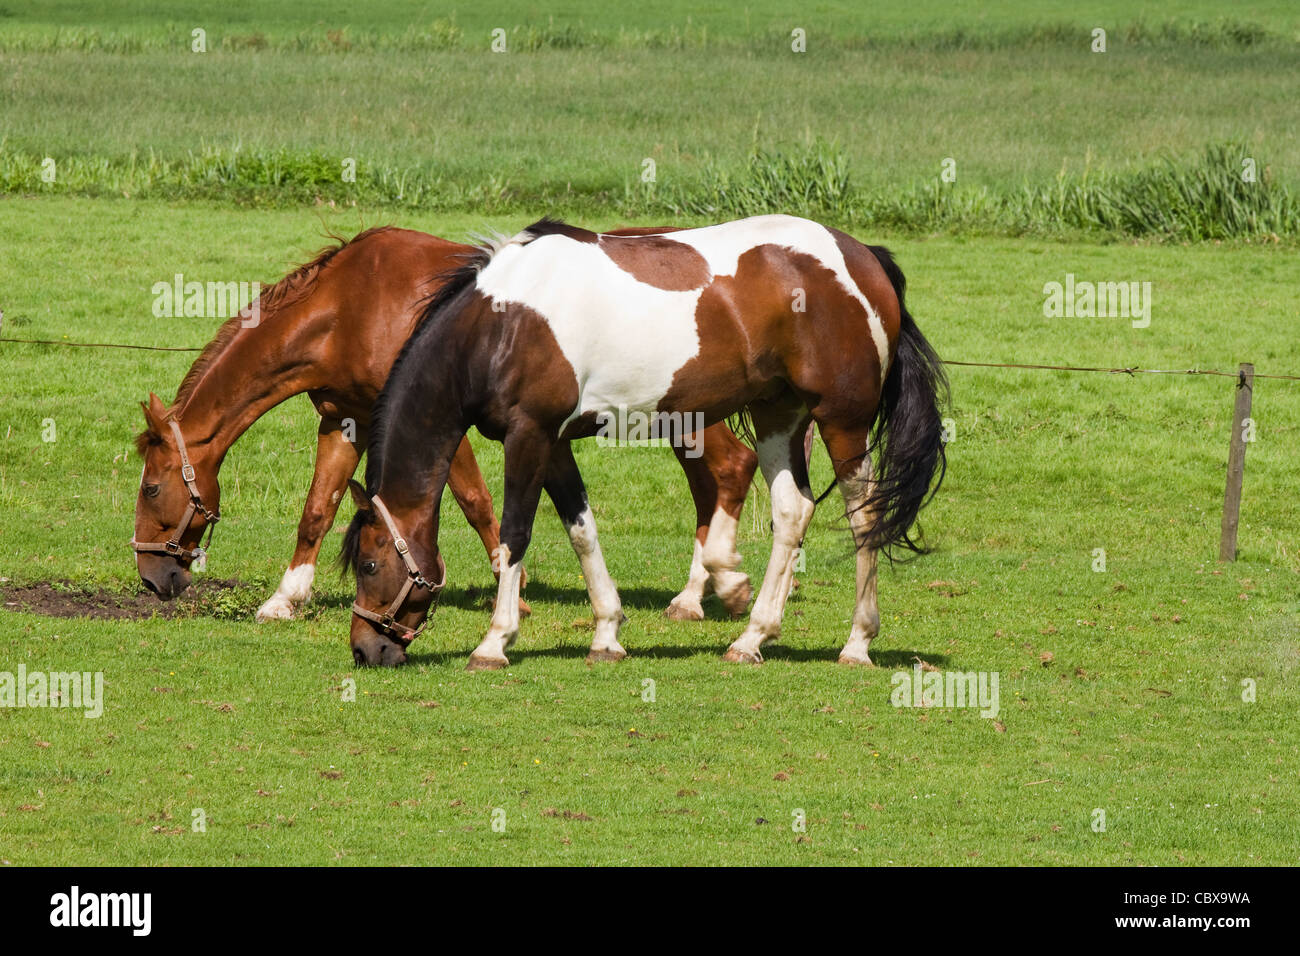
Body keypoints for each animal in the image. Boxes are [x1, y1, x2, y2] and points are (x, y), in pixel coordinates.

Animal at [133, 226, 759, 629]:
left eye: (152, 488)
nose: (151, 578)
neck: (349, 304)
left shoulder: (437, 423)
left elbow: (478, 504)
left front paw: (515, 596)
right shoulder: (344, 420)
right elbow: (317, 510)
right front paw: (285, 599)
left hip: (686, 417)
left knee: (732, 469)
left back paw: (700, 594)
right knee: (716, 482)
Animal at [345, 214, 946, 671]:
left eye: (369, 565)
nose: (365, 650)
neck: (501, 325)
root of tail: (864, 257)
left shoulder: (529, 436)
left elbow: (514, 535)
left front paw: (495, 642)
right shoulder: (555, 444)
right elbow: (581, 532)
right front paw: (607, 634)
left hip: (843, 422)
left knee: (865, 518)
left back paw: (856, 643)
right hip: (779, 414)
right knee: (792, 511)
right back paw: (751, 636)